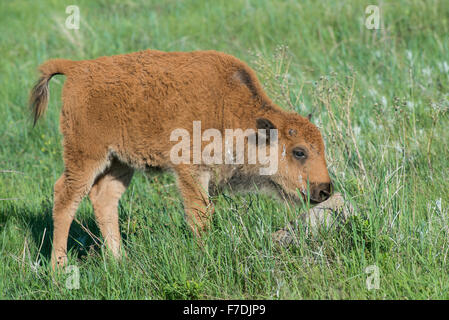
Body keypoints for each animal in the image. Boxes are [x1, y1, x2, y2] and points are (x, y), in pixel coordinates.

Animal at [28, 49, 328, 268]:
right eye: (299, 151)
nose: (325, 190)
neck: (230, 110)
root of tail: (76, 68)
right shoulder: (191, 172)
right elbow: (200, 216)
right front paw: (206, 256)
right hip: (86, 155)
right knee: (66, 197)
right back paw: (58, 269)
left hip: (119, 163)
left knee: (104, 198)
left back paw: (120, 261)